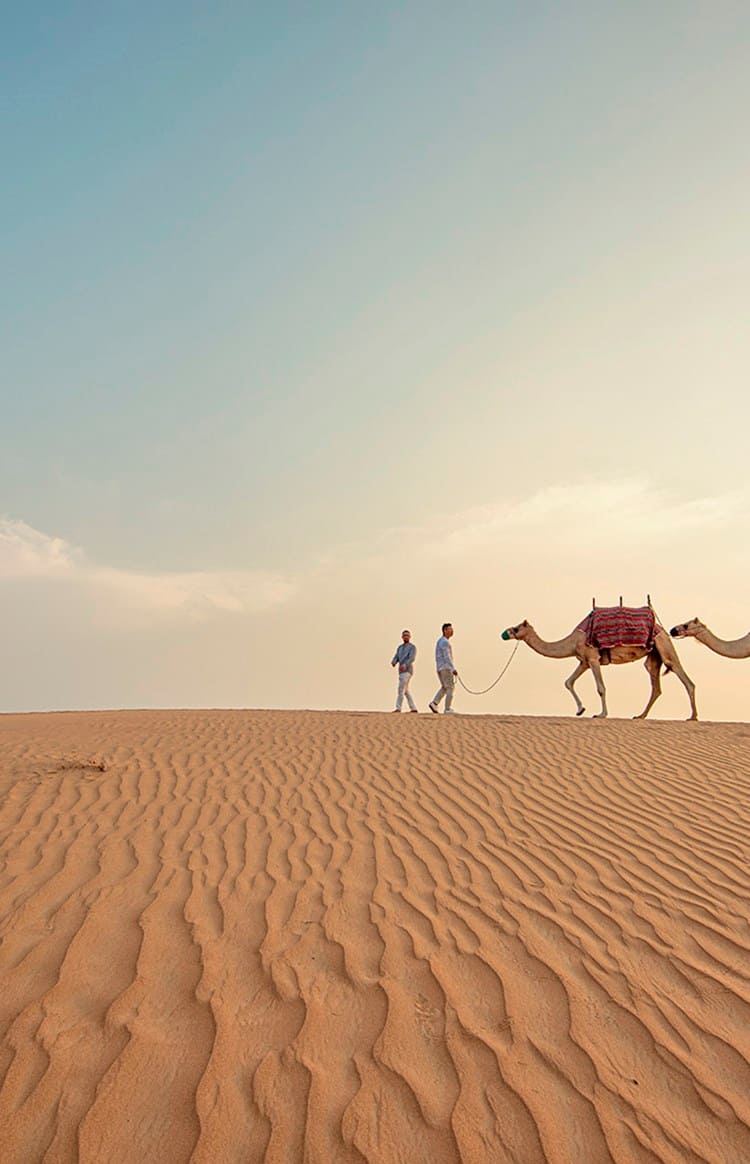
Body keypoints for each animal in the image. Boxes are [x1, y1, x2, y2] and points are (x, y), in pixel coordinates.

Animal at [501, 617, 698, 719]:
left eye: (517, 628)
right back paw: (640, 716)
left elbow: (601, 688)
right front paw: (580, 710)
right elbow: (568, 682)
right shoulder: (584, 661)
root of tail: (663, 629)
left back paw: (693, 716)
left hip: (663, 646)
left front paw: (601, 714)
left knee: (683, 675)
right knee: (656, 685)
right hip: (653, 656)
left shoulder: (593, 658)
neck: (572, 642)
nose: (504, 633)